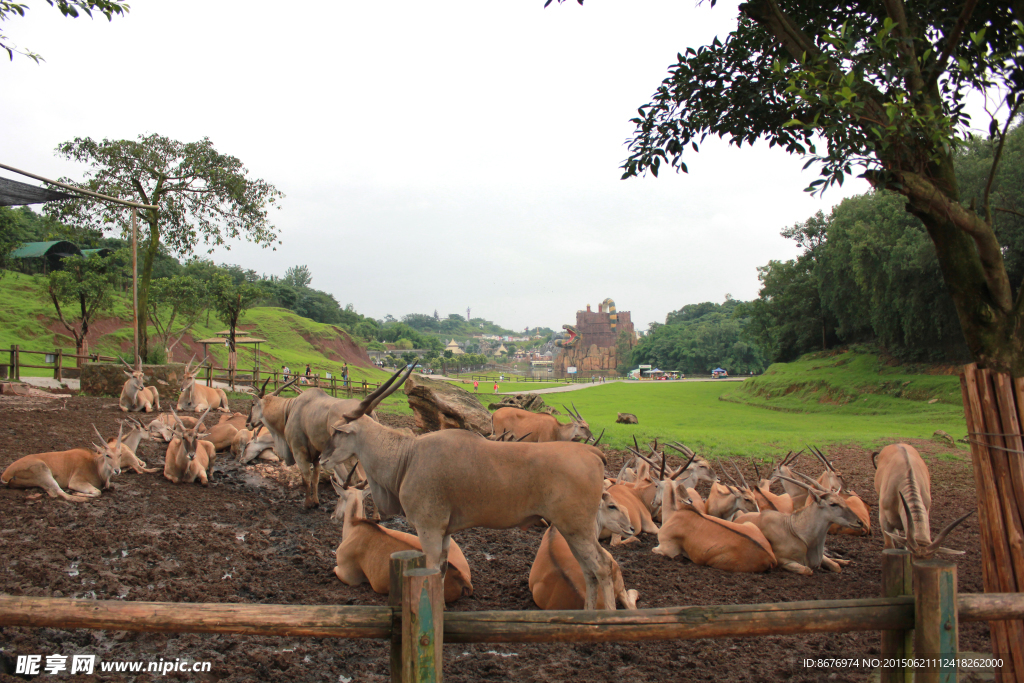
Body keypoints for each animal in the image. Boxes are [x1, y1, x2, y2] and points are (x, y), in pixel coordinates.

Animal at [321, 368, 614, 610]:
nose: (322, 458)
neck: (408, 456)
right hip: (571, 530)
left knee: (603, 566)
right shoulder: (444, 533)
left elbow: (431, 573)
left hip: (577, 528)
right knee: (588, 570)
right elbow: (440, 572)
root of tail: (592, 452)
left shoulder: (428, 529)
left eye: (336, 432)